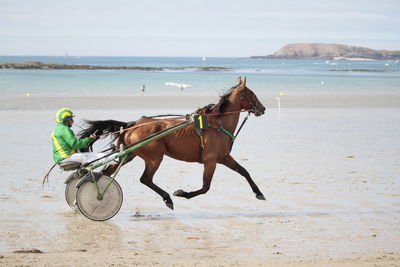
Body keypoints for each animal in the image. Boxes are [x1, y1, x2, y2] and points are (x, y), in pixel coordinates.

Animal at [79, 78, 266, 210]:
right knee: (145, 179)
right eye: (251, 93)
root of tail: (133, 124)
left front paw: (259, 193)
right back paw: (167, 198)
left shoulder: (224, 157)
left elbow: (244, 172)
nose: (262, 108)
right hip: (154, 157)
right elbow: (205, 187)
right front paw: (182, 193)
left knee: (107, 171)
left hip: (129, 155)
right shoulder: (210, 161)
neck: (217, 124)